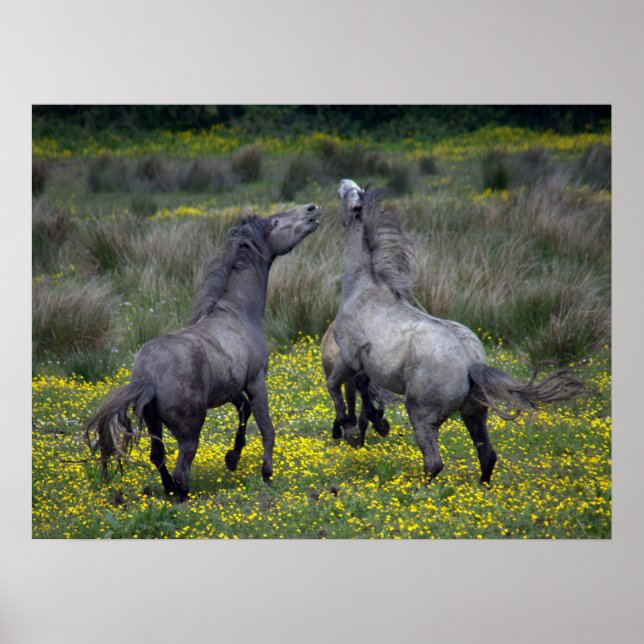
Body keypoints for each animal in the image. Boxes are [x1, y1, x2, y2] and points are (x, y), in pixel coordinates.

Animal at [86, 203, 323, 501]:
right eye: (277, 222)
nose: (312, 209)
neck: (237, 313)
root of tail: (148, 376)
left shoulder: (232, 389)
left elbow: (244, 412)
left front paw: (232, 458)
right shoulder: (256, 381)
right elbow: (267, 428)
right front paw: (267, 473)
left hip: (153, 422)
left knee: (158, 456)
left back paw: (170, 491)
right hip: (190, 429)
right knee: (181, 467)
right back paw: (183, 495)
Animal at [326, 179, 585, 484]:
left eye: (349, 193)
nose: (342, 182)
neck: (364, 289)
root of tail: (471, 364)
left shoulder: (348, 356)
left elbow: (334, 386)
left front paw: (349, 429)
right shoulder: (366, 364)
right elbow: (364, 388)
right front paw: (376, 423)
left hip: (422, 414)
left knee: (434, 462)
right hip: (474, 412)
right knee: (487, 455)